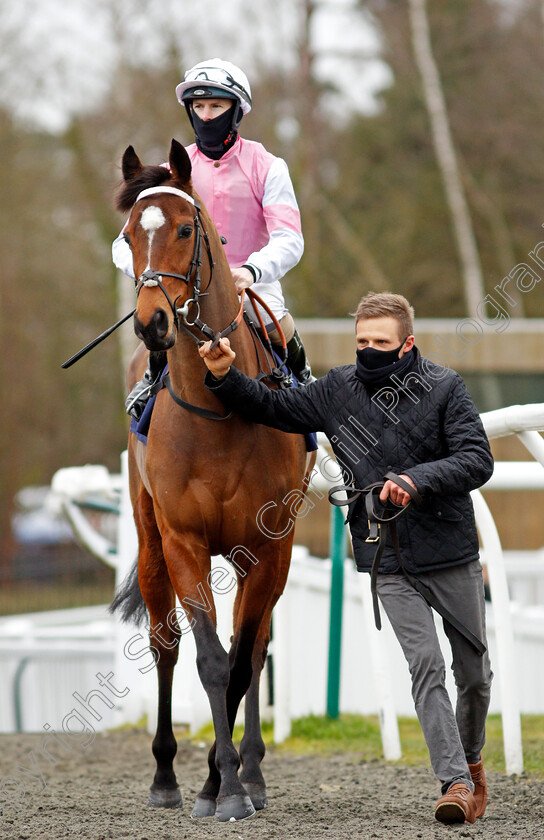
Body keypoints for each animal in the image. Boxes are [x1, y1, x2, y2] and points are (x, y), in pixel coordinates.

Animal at [112, 143, 312, 820]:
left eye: (183, 228)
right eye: (127, 234)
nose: (153, 323)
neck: (219, 408)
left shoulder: (268, 547)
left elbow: (243, 661)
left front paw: (230, 782)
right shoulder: (184, 541)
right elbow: (208, 660)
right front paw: (210, 786)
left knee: (258, 645)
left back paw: (248, 770)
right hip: (149, 537)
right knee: (165, 643)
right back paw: (165, 776)